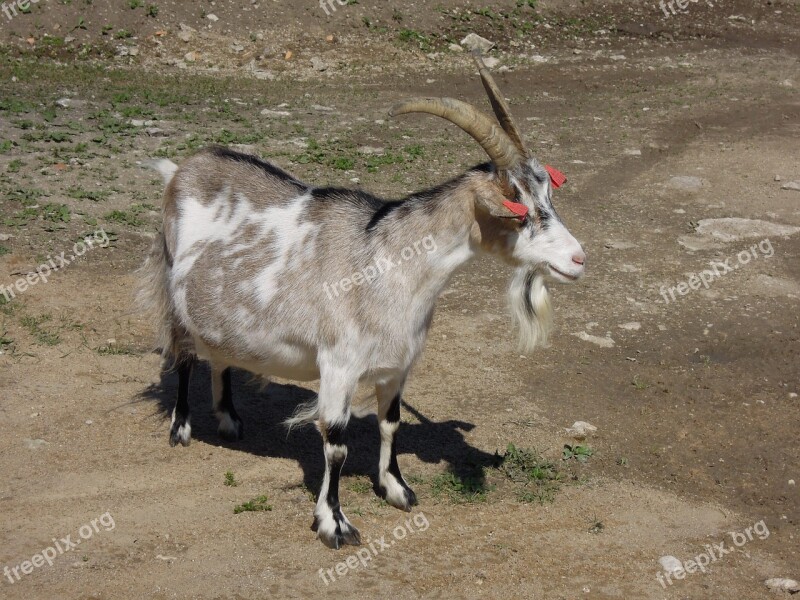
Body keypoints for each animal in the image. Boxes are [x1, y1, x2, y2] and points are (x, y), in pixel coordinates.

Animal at [141, 55, 584, 548]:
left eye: (548, 195)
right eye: (518, 207)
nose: (578, 258)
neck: (387, 263)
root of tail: (180, 170)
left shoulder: (398, 364)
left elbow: (390, 423)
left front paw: (396, 489)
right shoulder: (338, 365)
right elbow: (336, 444)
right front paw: (333, 522)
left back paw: (229, 420)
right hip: (173, 290)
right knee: (182, 356)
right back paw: (181, 427)